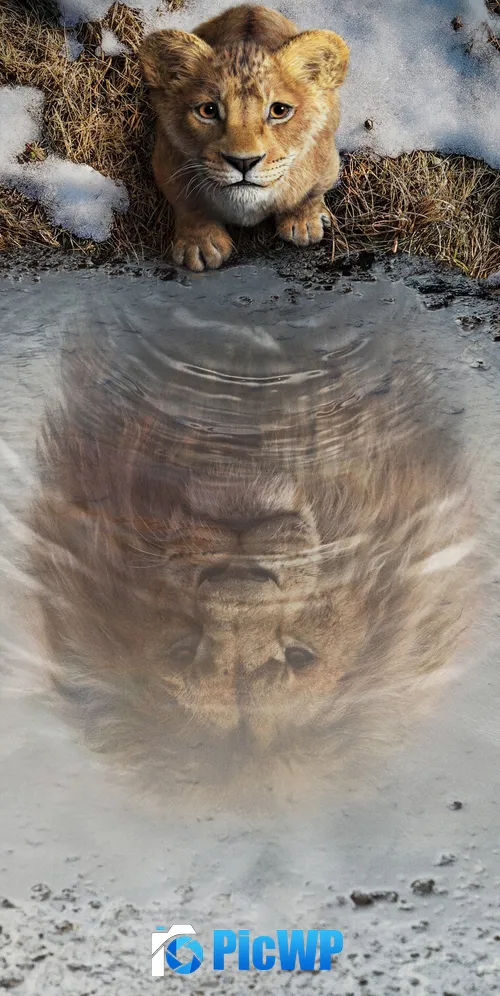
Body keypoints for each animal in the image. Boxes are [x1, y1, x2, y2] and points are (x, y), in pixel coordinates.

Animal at [138, 4, 350, 271]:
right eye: (208, 110)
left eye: (279, 110)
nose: (243, 162)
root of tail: (251, 6)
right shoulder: (166, 160)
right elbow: (188, 203)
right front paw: (200, 244)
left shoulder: (326, 160)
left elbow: (311, 193)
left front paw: (304, 222)